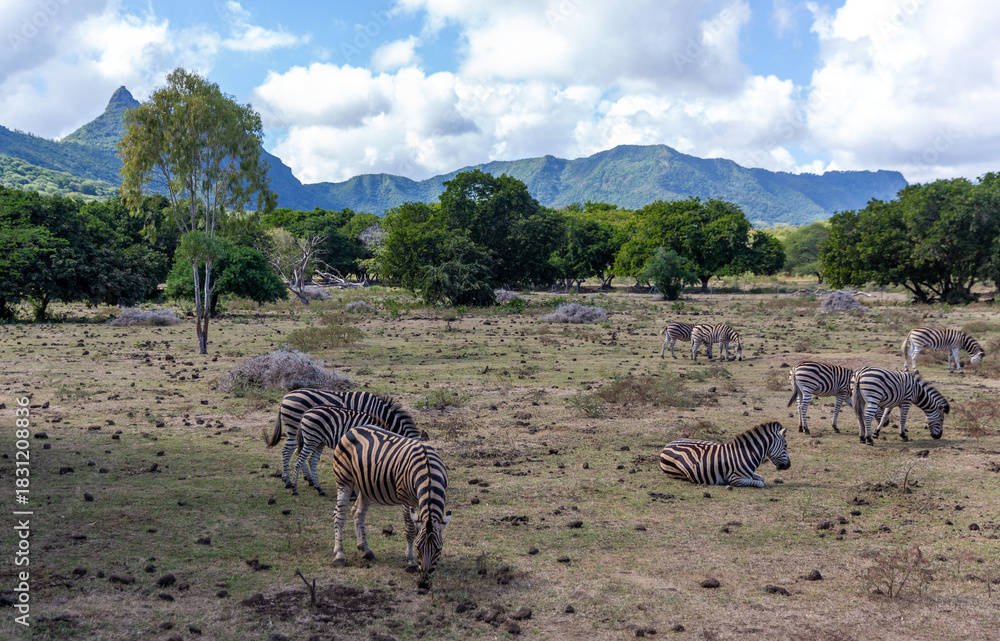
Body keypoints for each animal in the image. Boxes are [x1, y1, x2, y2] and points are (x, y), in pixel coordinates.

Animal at [263, 390, 417, 488]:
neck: (382, 412)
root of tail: (285, 397)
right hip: (295, 426)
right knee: (287, 451)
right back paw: (289, 482)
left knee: (294, 451)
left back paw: (304, 479)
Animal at [330, 425, 450, 578]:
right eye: (418, 547)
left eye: (438, 549)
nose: (425, 578)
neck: (428, 473)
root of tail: (353, 429)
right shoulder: (407, 501)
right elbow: (411, 530)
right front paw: (411, 562)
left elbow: (417, 529)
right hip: (344, 479)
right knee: (339, 515)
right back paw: (339, 555)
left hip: (366, 486)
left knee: (358, 513)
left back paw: (366, 550)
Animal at [659, 421, 790, 488]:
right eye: (786, 445)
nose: (788, 466)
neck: (746, 454)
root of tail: (668, 445)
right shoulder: (735, 479)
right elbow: (759, 483)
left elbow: (760, 478)